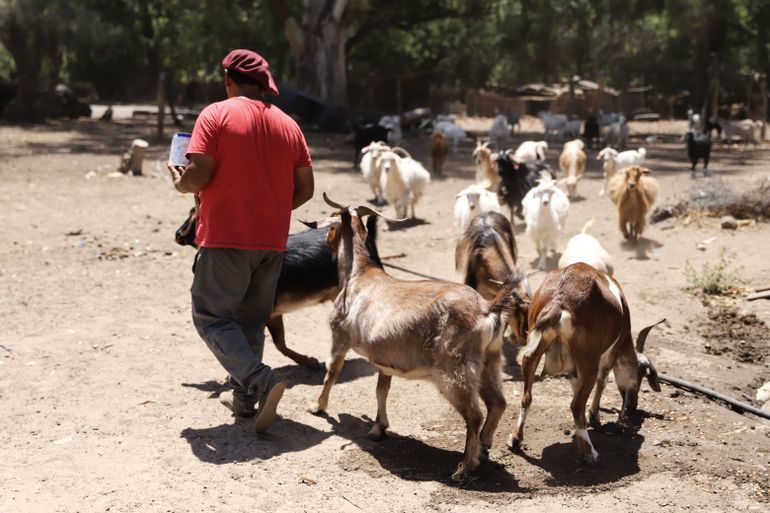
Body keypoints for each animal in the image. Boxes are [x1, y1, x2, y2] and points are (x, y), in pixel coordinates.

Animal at [304, 194, 532, 482]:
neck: (359, 275)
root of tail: (487, 308)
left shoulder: (339, 335)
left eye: (332, 224)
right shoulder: (385, 358)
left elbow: (332, 372)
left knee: (474, 415)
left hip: (455, 367)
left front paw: (317, 406)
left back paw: (464, 467)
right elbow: (381, 390)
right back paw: (484, 447)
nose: (327, 240)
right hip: (490, 359)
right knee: (498, 403)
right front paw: (378, 429)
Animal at [508, 264, 664, 464]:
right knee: (576, 404)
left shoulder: (573, 366)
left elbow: (575, 384)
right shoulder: (610, 352)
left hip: (533, 350)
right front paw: (594, 415)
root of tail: (558, 302)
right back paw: (589, 453)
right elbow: (603, 380)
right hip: (589, 359)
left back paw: (515, 439)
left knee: (526, 397)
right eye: (640, 376)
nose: (632, 405)